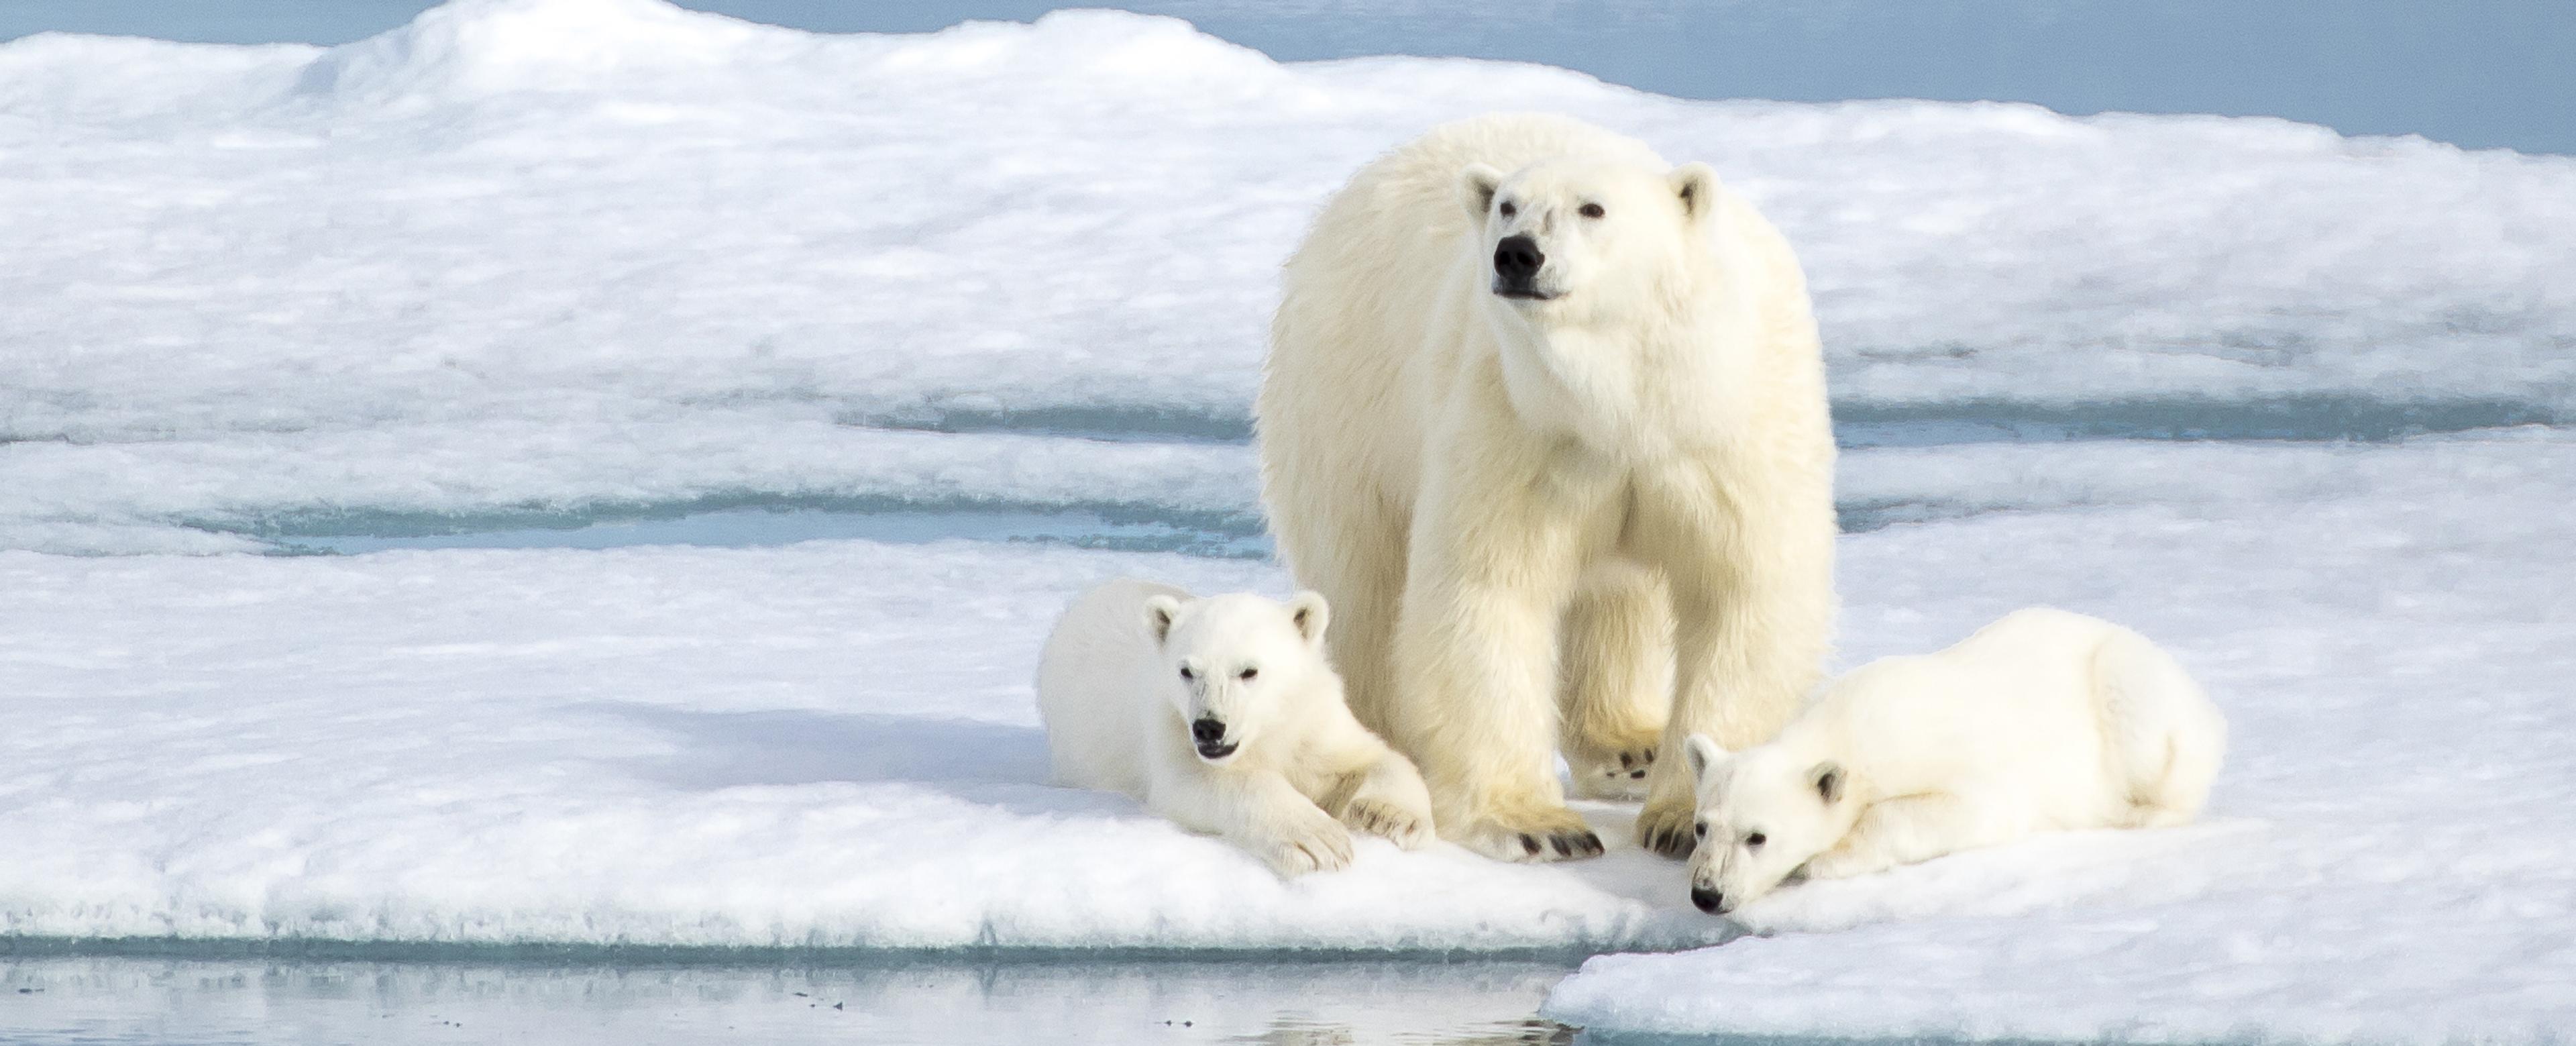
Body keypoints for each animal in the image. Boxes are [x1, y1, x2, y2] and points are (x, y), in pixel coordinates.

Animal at [1034, 578, 1436, 876]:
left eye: (1248, 671)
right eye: (1187, 671)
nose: (1208, 728)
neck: (1266, 734)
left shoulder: (1313, 723)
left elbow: (1375, 757)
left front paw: (1387, 816)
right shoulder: (1170, 728)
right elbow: (1203, 782)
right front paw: (1318, 841)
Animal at [1257, 112, 1837, 862]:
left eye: (1594, 208)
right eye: (1508, 205)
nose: (1517, 254)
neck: (1626, 398)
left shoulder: (1726, 433)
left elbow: (1740, 593)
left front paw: (1684, 818)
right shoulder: (1517, 421)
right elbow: (1488, 589)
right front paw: (1536, 825)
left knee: (1619, 598)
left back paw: (1628, 747)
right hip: (1347, 399)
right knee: (1366, 581)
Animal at [1680, 608, 2228, 915]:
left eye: (1757, 836)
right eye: (1702, 827)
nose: (1707, 894)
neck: (1847, 721)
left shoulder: (1942, 757)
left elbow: (1969, 809)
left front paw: (1826, 858)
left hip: (2128, 686)